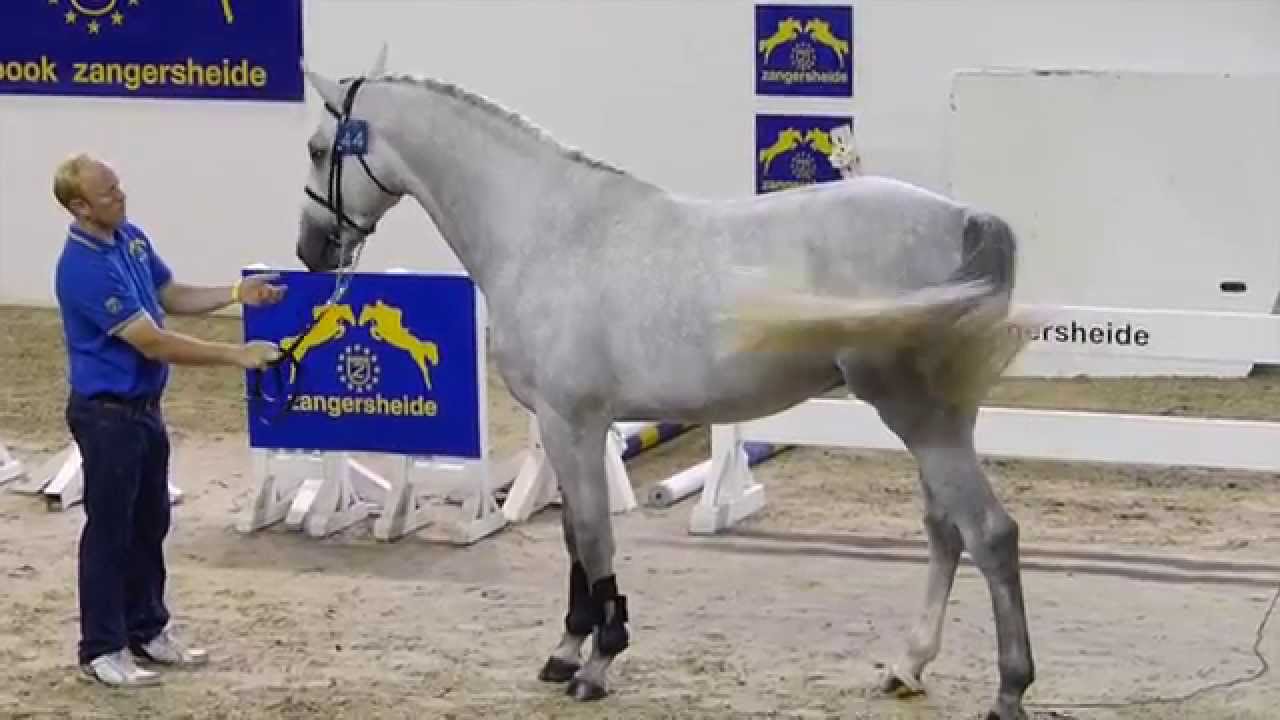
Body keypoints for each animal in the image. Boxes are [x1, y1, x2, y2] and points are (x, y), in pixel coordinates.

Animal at [291, 47, 1038, 720]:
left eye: (317, 147)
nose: (310, 250)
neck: (546, 230)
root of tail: (966, 219)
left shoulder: (572, 421)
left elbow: (594, 538)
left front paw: (599, 659)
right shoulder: (567, 429)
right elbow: (575, 537)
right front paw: (567, 648)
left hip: (921, 417)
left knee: (989, 533)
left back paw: (1009, 690)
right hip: (931, 421)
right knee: (946, 532)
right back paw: (908, 666)